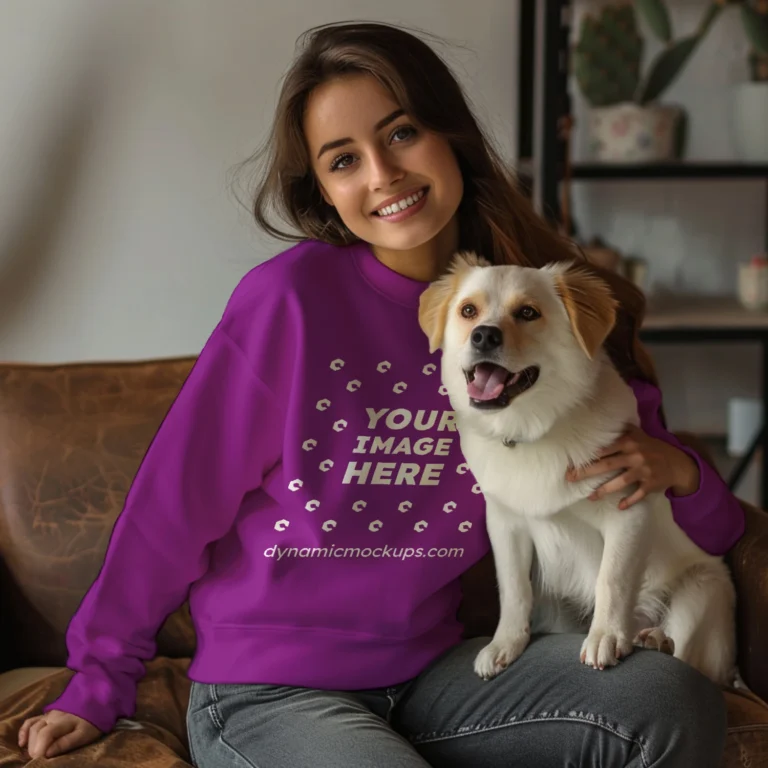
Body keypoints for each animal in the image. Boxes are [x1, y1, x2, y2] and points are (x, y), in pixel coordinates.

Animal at [420, 252, 736, 684]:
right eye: (468, 311)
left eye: (528, 312)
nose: (483, 336)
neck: (533, 430)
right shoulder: (505, 524)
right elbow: (513, 589)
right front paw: (505, 644)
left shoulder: (627, 512)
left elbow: (612, 580)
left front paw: (606, 636)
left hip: (702, 591)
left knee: (690, 656)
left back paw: (653, 639)